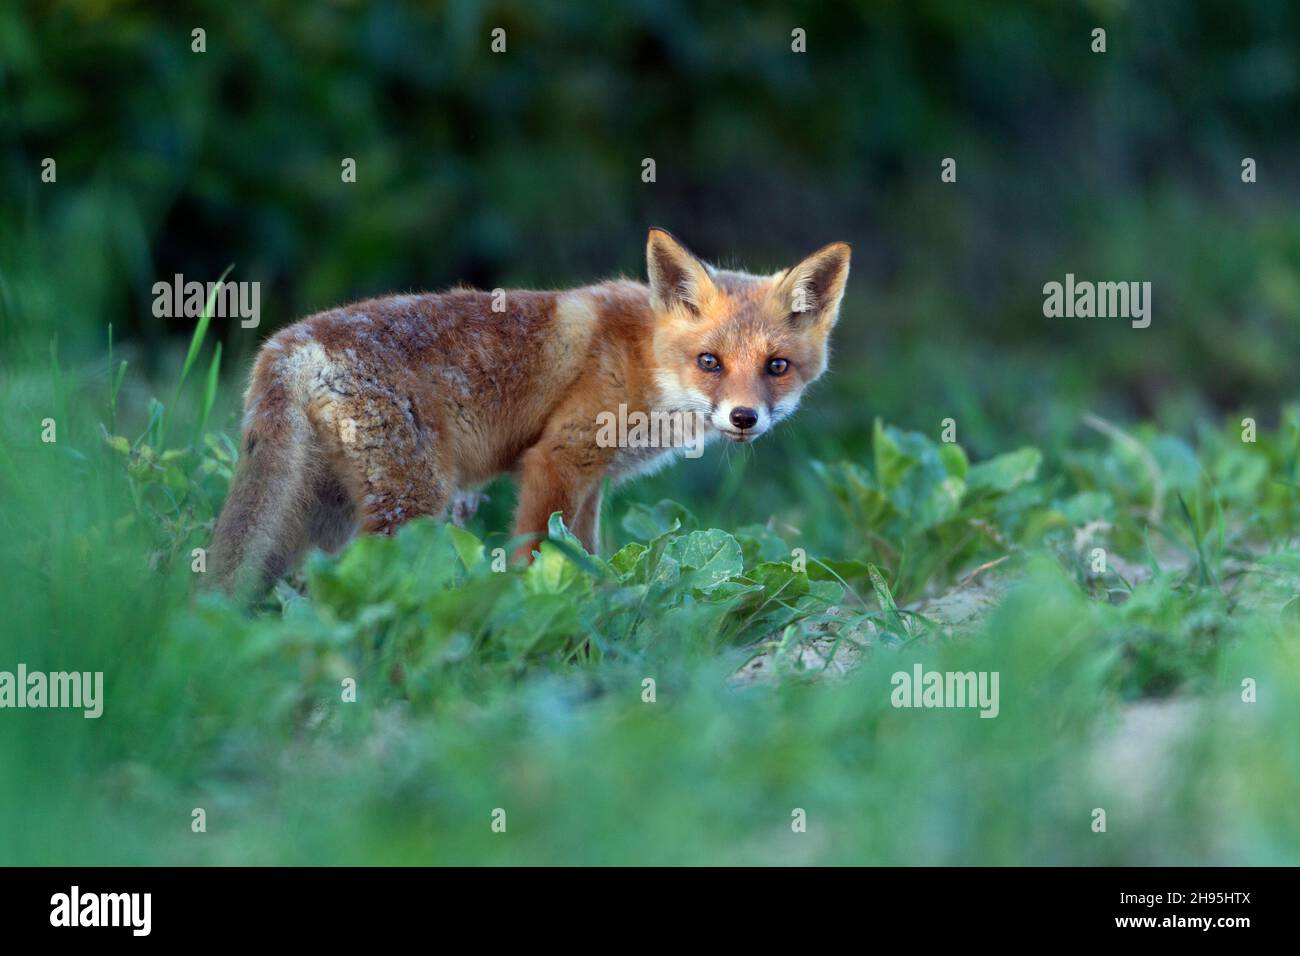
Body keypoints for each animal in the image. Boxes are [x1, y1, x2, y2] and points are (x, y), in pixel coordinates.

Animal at [209, 228, 851, 598]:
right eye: (710, 362)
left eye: (776, 366)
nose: (744, 418)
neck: (646, 359)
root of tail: (286, 344)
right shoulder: (557, 460)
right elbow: (542, 551)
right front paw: (541, 603)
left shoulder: (593, 482)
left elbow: (588, 551)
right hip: (410, 501)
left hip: (325, 510)